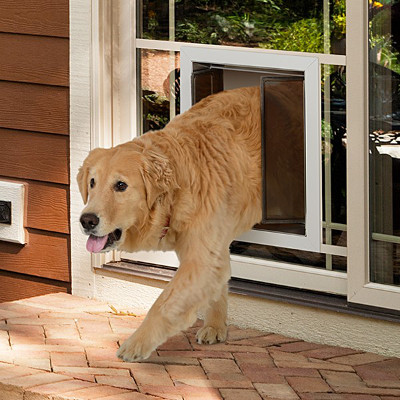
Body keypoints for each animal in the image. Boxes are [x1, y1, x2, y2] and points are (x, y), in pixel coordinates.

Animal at [78, 86, 266, 360]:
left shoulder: (200, 258)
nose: (87, 220)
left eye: (121, 185)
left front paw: (136, 343)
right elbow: (217, 284)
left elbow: (164, 303)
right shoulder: (212, 248)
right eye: (92, 182)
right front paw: (215, 326)